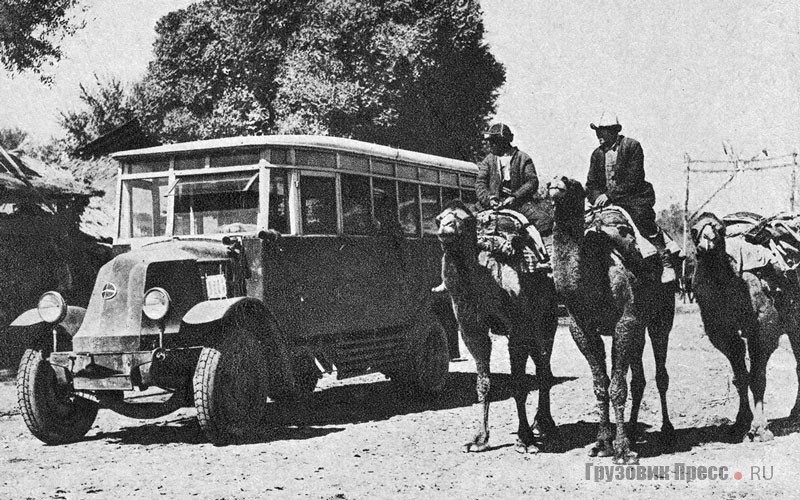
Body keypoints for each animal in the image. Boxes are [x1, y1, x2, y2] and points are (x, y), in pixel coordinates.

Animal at [434, 199, 560, 454]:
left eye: (466, 220)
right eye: (438, 218)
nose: (446, 230)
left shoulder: (518, 329)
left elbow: (519, 384)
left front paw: (524, 439)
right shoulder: (472, 330)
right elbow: (483, 383)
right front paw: (478, 440)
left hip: (547, 320)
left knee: (544, 367)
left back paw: (546, 426)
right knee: (542, 365)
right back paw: (541, 423)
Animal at [544, 177, 676, 464]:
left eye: (573, 183)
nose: (555, 183)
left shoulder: (624, 322)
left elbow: (617, 386)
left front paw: (623, 450)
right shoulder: (581, 328)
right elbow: (601, 385)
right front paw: (603, 443)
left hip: (661, 317)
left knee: (661, 373)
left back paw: (667, 430)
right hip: (639, 326)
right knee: (639, 379)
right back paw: (633, 430)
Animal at [688, 213, 800, 440]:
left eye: (719, 229)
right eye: (694, 231)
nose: (707, 242)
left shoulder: (764, 330)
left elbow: (757, 378)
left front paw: (760, 428)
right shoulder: (722, 333)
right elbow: (740, 377)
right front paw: (740, 423)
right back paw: (794, 413)